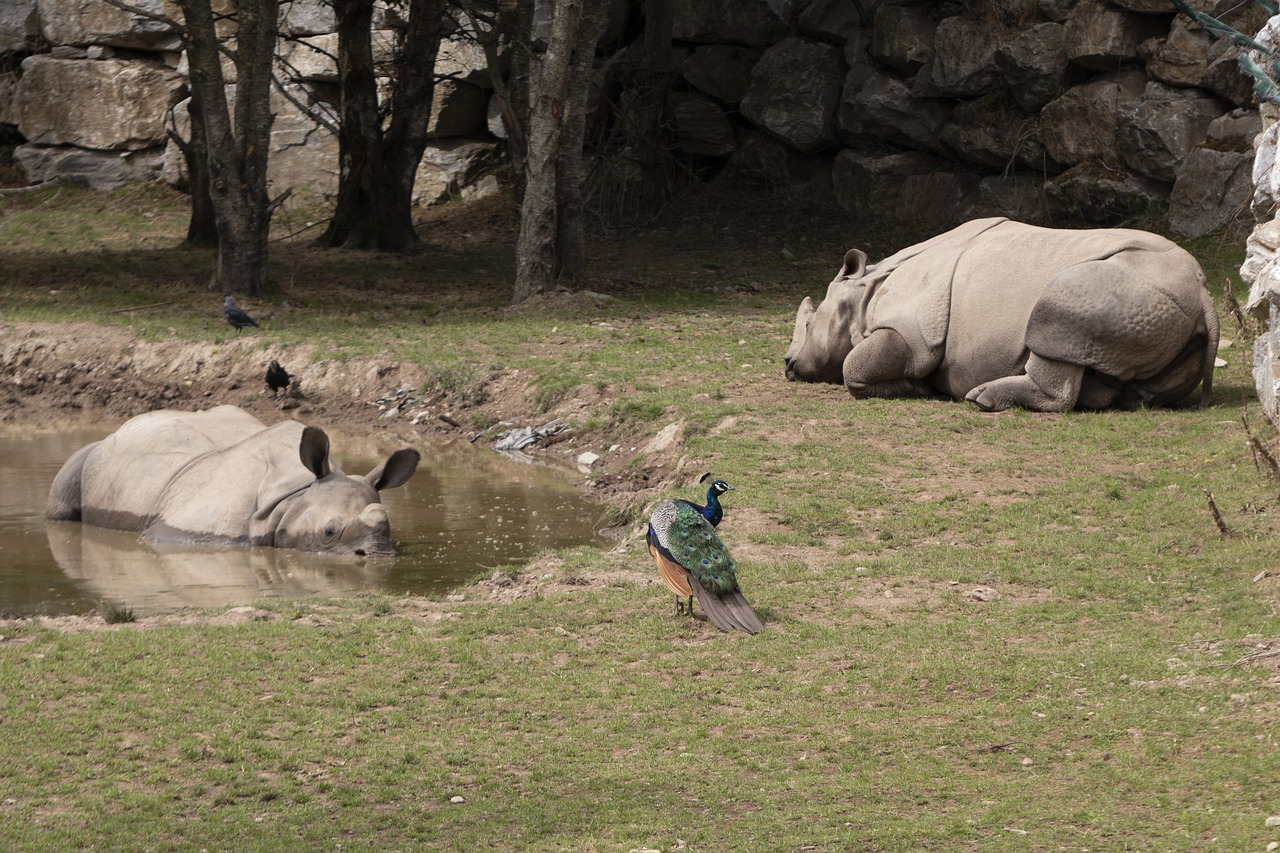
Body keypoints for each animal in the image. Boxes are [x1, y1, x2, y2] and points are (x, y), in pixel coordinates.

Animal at [47, 402, 419, 555]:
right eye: (328, 533)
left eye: (388, 526)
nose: (377, 555)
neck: (294, 497)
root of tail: (126, 424)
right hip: (95, 453)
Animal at [778, 213, 1218, 409]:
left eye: (811, 322)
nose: (787, 364)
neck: (868, 293)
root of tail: (1203, 296)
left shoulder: (916, 332)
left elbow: (855, 366)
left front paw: (918, 389)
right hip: (1156, 302)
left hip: (1111, 288)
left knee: (1054, 319)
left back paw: (983, 398)